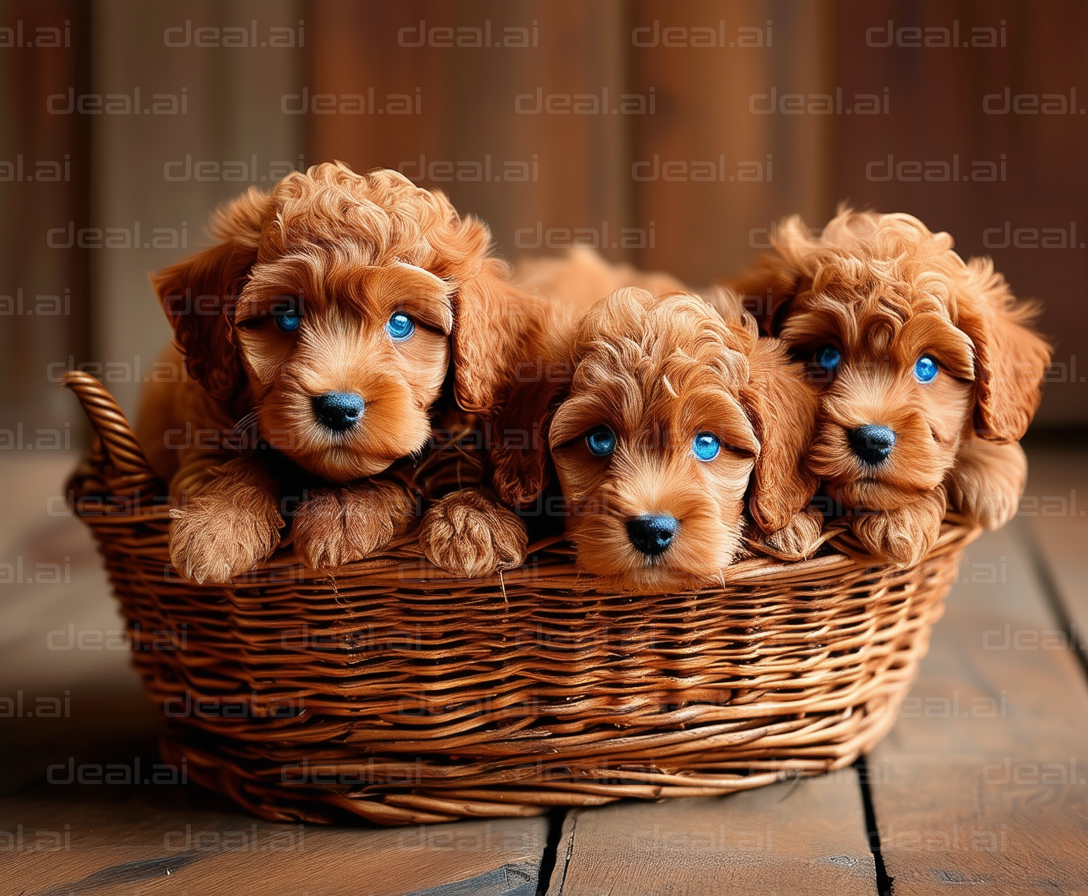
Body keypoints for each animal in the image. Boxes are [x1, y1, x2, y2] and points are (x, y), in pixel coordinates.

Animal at [140, 160, 530, 582]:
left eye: (401, 323)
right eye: (287, 316)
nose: (338, 408)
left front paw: (473, 517)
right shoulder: (202, 429)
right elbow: (236, 461)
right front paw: (217, 524)